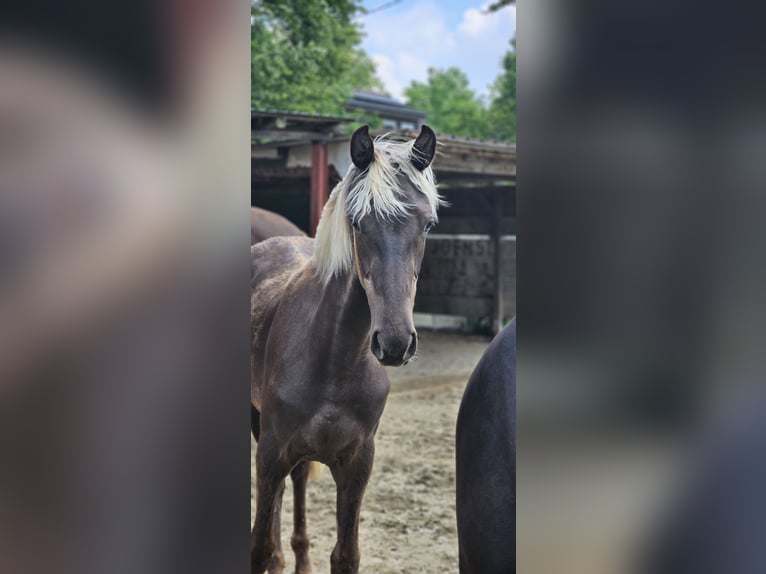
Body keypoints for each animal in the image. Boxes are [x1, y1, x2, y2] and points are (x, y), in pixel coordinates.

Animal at [252, 124, 440, 572]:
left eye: (428, 224)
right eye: (358, 222)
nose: (395, 342)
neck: (334, 358)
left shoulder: (356, 464)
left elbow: (346, 554)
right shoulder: (270, 452)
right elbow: (258, 545)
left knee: (296, 485)